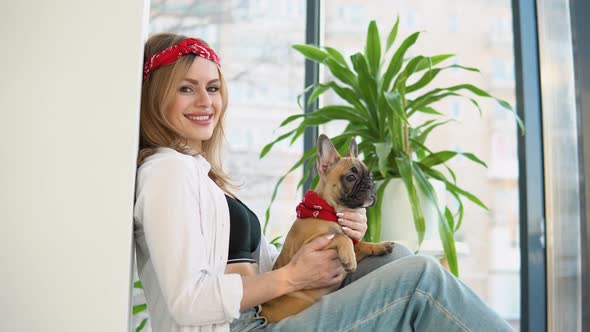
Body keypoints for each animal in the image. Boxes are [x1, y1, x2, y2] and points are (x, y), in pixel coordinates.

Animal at [262, 134, 396, 322]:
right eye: (351, 178)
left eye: (370, 176)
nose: (370, 185)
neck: (331, 211)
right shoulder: (310, 247)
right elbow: (342, 237)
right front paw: (349, 257)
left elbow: (356, 242)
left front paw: (377, 245)